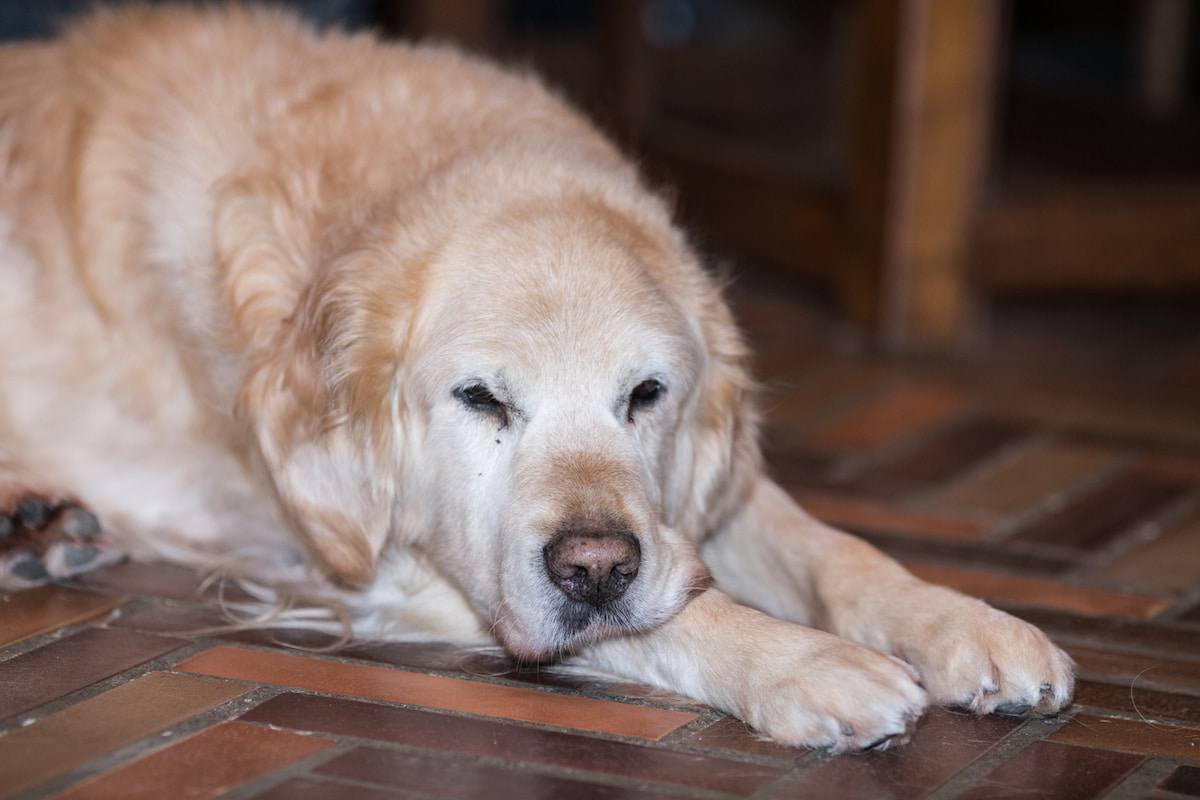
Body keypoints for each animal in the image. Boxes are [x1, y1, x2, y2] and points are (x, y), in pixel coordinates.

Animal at [0, 4, 1070, 753]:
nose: (596, 568)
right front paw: (807, 662)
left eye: (646, 395)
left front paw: (966, 623)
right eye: (481, 398)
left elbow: (827, 547)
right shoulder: (378, 561)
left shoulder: (688, 510)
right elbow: (671, 612)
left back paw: (37, 528)